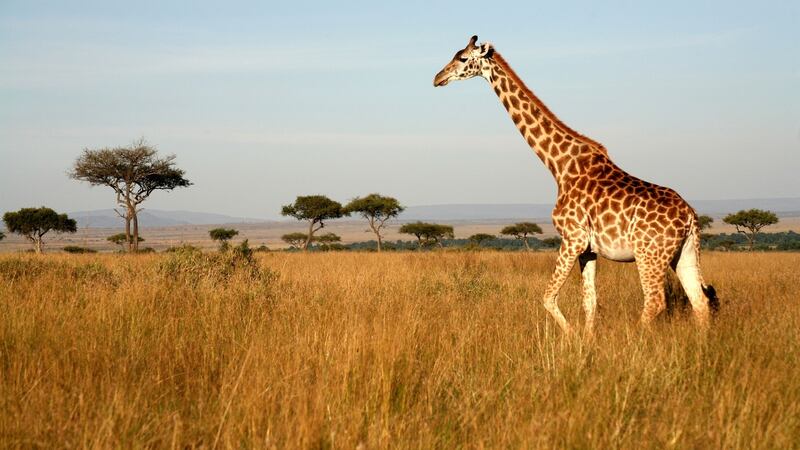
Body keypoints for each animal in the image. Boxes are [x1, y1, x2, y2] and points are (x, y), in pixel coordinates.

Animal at [434, 36, 719, 334]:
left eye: (463, 58)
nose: (437, 77)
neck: (560, 166)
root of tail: (690, 217)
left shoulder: (572, 238)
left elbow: (548, 297)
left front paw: (571, 336)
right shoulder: (589, 249)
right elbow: (589, 301)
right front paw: (587, 339)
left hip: (649, 254)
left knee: (655, 301)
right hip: (684, 253)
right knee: (699, 301)